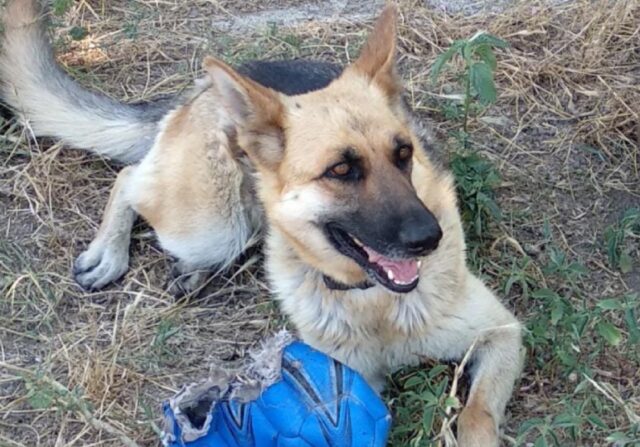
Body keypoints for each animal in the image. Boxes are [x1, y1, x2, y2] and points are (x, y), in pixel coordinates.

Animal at [0, 1, 524, 446]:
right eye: (341, 170)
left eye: (404, 154)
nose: (429, 238)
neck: (372, 303)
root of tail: (204, 90)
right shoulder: (358, 377)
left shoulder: (503, 334)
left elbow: (477, 415)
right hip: (211, 224)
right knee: (131, 178)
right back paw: (109, 253)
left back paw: (186, 272)